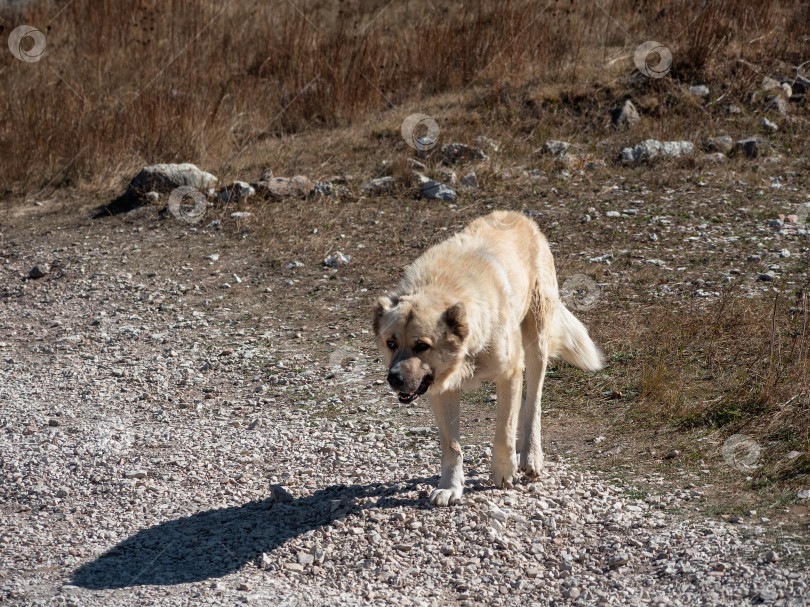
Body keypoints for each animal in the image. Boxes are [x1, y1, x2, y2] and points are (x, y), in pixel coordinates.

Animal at [372, 211, 600, 506]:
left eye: (422, 345)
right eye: (391, 343)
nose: (394, 379)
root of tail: (518, 216)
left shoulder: (509, 373)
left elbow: (503, 431)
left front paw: (503, 471)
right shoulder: (441, 389)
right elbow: (451, 446)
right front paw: (451, 486)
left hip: (536, 343)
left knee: (533, 403)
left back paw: (530, 456)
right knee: (523, 403)